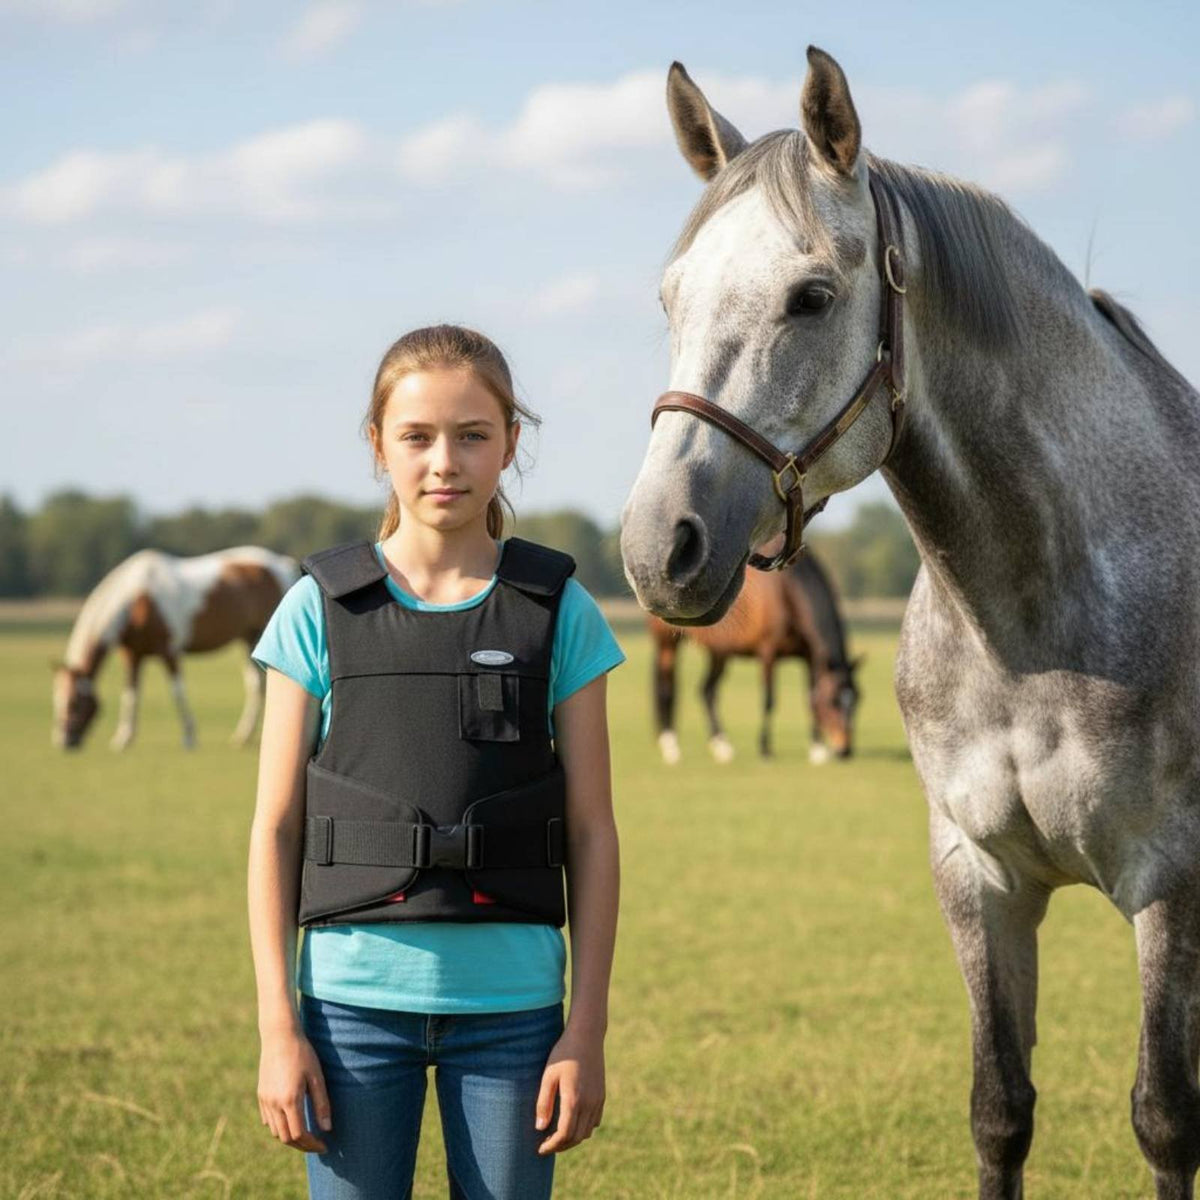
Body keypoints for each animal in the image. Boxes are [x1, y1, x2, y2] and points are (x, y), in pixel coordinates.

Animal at [52, 546, 298, 751]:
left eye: (74, 702)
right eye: (56, 700)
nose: (64, 742)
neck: (137, 599)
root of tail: (281, 563)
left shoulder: (168, 651)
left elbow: (177, 692)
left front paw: (189, 736)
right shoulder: (132, 655)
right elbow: (131, 693)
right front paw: (124, 737)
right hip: (250, 639)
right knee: (256, 685)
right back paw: (243, 736)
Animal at [649, 551, 860, 765]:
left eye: (857, 700)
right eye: (833, 701)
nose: (845, 750)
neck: (786, 592)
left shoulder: (810, 656)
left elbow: (810, 697)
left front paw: (817, 749)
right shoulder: (768, 654)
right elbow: (769, 700)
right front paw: (765, 749)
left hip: (719, 652)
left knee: (707, 691)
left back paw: (721, 746)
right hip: (667, 644)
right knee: (666, 688)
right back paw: (671, 747)